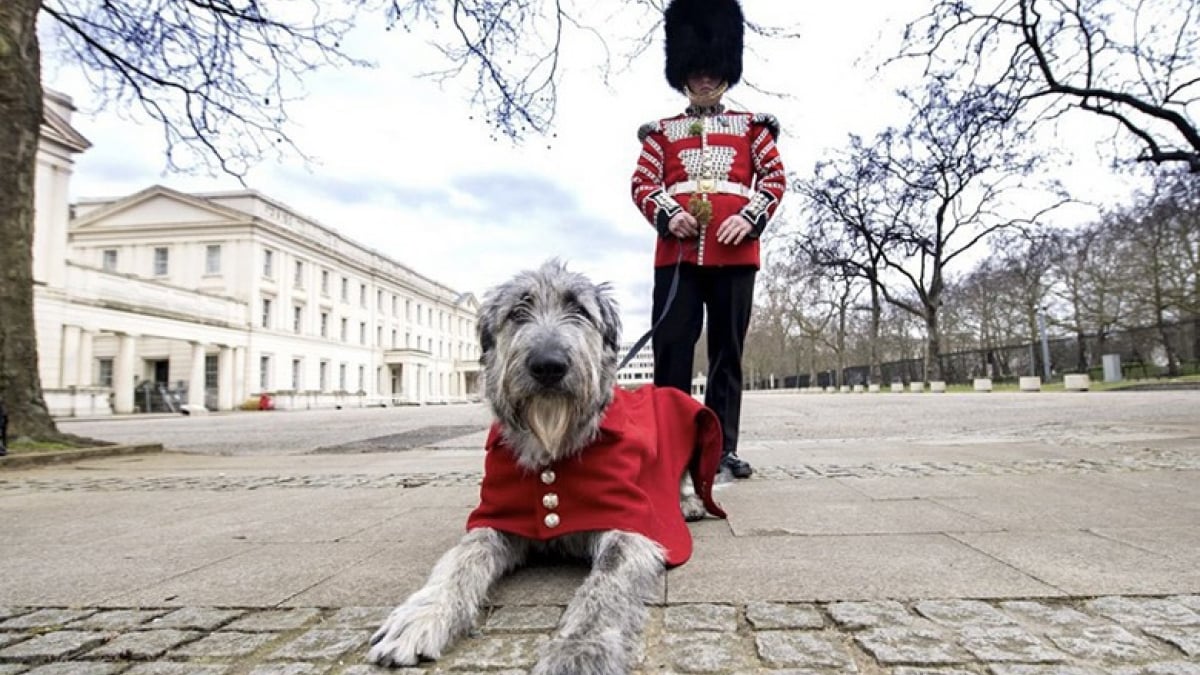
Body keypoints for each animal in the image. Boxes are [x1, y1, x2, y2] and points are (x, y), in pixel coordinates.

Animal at [364, 258, 700, 672]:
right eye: (517, 312)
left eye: (579, 310)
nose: (548, 365)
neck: (552, 449)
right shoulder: (497, 517)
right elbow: (463, 557)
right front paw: (423, 614)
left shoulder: (631, 523)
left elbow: (605, 584)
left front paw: (579, 650)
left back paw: (689, 503)